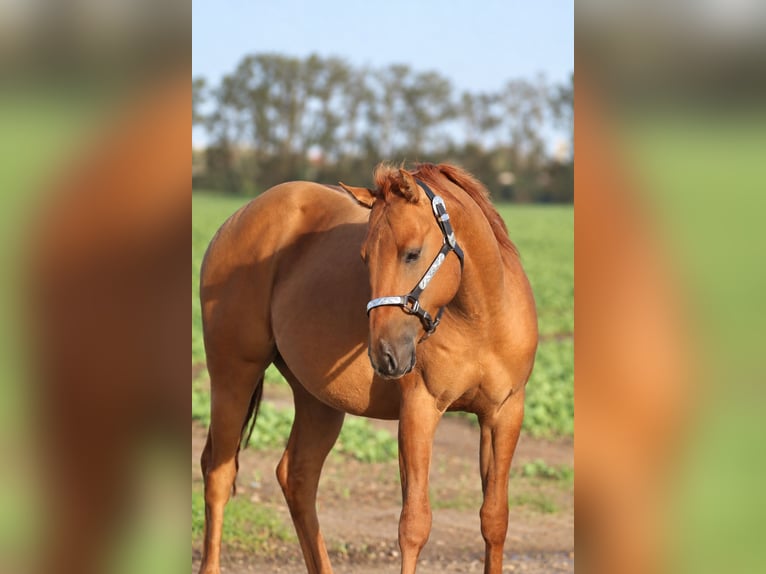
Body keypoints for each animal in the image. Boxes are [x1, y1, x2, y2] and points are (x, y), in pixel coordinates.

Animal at [198, 162, 538, 574]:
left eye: (412, 253)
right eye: (364, 258)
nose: (385, 356)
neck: (482, 321)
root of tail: (236, 220)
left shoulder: (504, 413)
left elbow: (495, 518)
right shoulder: (419, 410)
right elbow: (414, 524)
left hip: (317, 400)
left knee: (297, 476)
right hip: (233, 376)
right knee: (219, 474)